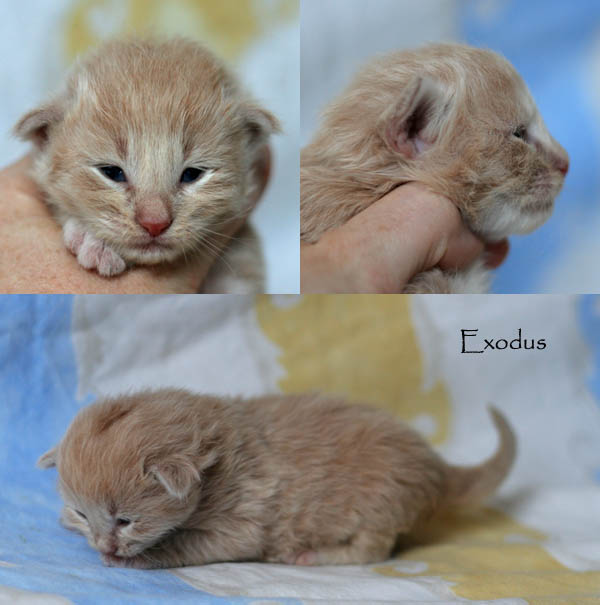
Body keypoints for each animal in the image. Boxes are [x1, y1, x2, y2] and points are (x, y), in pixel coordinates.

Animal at [38, 389, 516, 568]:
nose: (103, 545)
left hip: (381, 504)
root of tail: (434, 466)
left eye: (125, 521)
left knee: (372, 550)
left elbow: (187, 544)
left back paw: (312, 555)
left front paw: (134, 559)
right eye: (84, 513)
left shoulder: (244, 522)